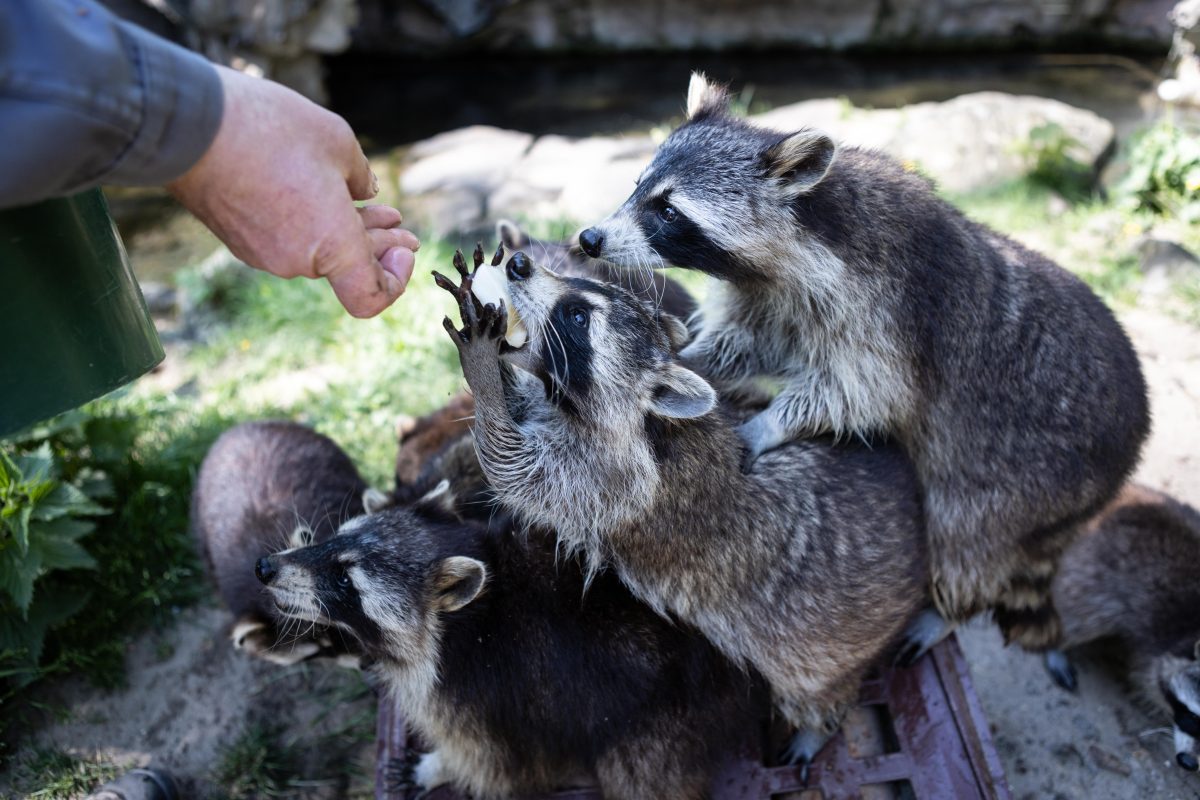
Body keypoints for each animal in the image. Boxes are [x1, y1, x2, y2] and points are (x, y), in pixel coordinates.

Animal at [255, 491, 758, 796]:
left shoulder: (486, 694)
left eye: (346, 579)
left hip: (665, 713)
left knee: (646, 774)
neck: (463, 622)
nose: (264, 567)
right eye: (333, 537)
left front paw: (438, 767)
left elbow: (492, 763)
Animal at [436, 248, 931, 767]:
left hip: (831, 646)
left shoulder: (617, 486)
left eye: (577, 316)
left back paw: (819, 725)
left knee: (816, 689)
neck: (651, 421)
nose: (519, 264)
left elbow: (517, 469)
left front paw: (483, 374)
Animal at [576, 71, 1147, 657]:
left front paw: (770, 422)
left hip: (1033, 477)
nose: (590, 239)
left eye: (668, 211)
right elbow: (749, 343)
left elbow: (862, 392)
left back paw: (948, 612)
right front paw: (690, 357)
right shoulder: (775, 297)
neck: (807, 226)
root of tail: (1130, 446)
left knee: (969, 540)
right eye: (638, 187)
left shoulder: (888, 311)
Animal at [1041, 484, 1200, 772]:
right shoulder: (1159, 645)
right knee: (1078, 613)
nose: (1188, 763)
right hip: (1092, 567)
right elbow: (1151, 679)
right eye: (1193, 717)